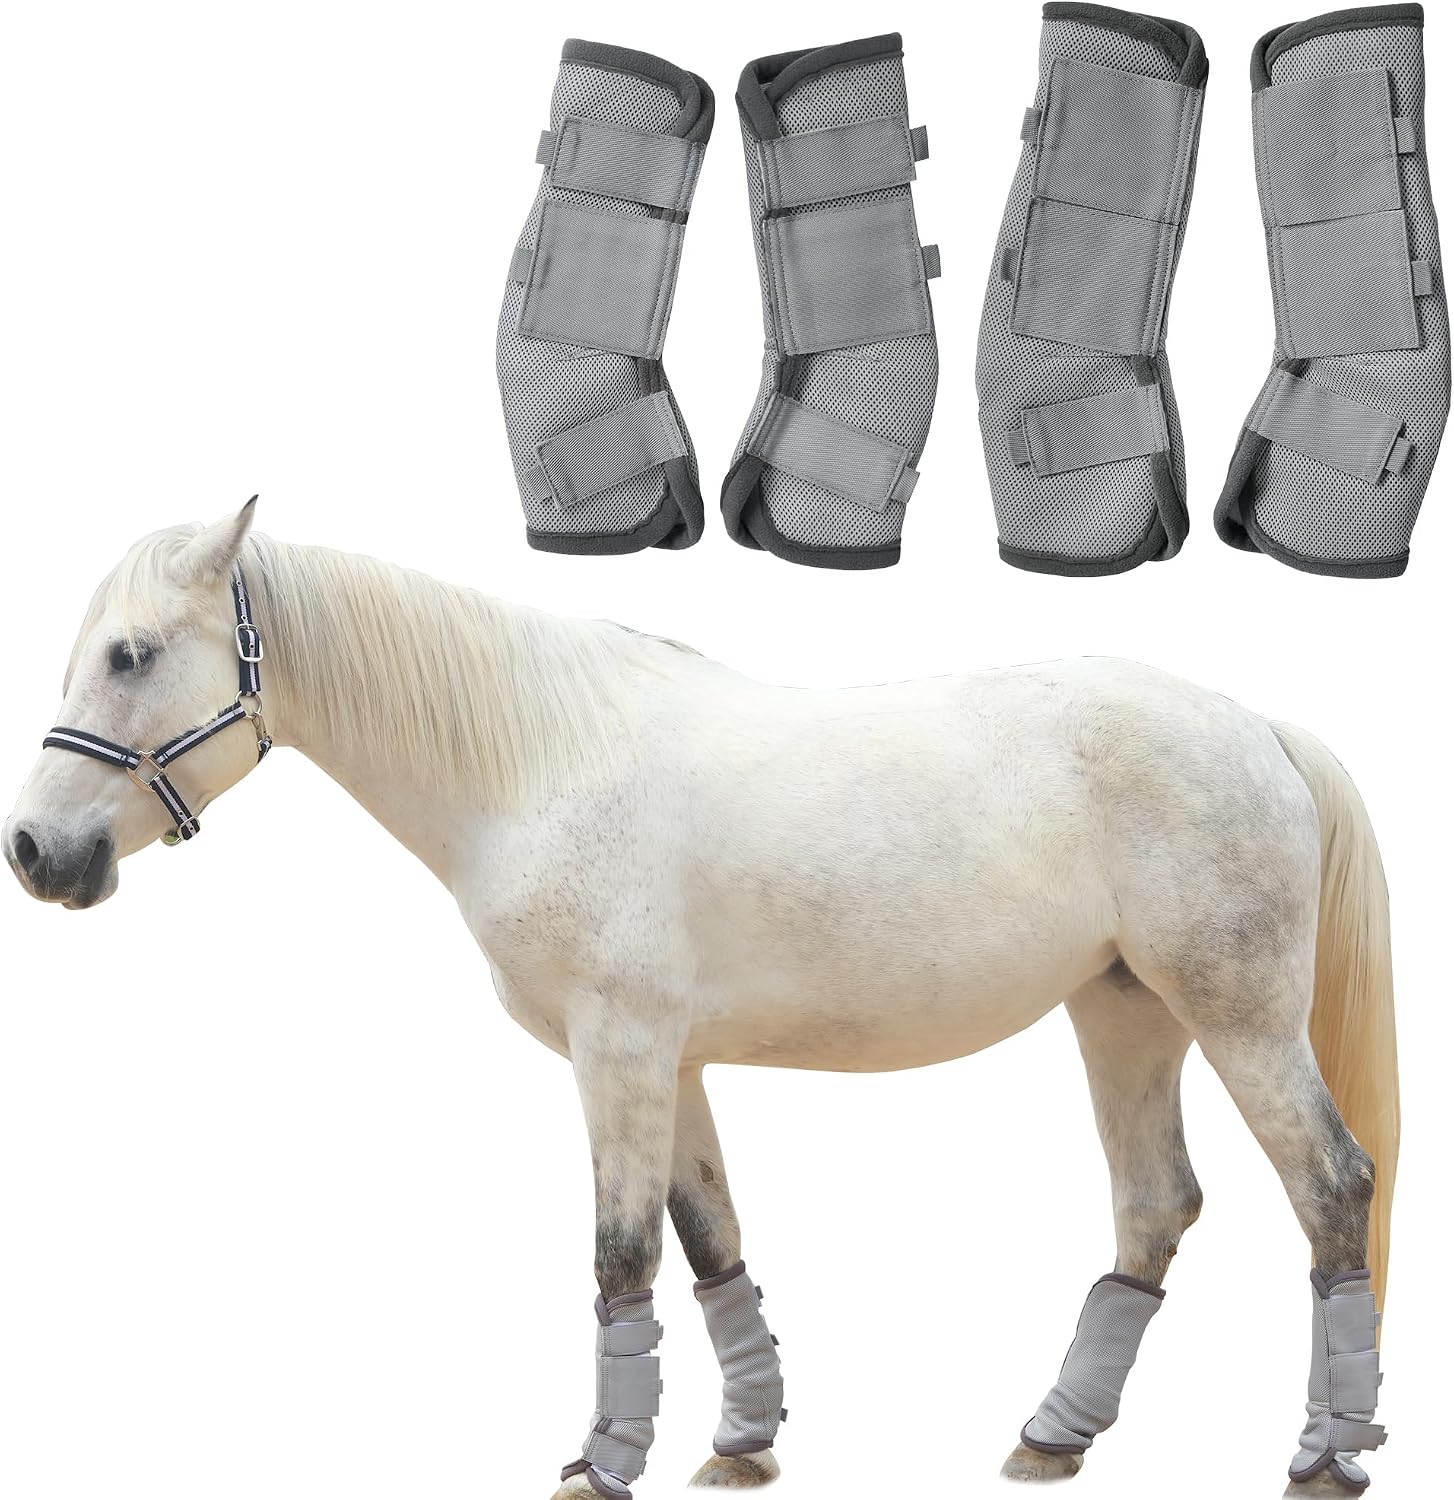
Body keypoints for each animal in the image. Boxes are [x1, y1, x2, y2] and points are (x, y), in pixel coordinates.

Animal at [5, 501, 1398, 1498]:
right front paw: (739, 1445)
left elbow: (620, 1254)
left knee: (1330, 1186)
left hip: (1235, 1017)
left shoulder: (616, 1051)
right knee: (1155, 1205)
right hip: (1122, 1014)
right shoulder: (670, 1065)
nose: (35, 852)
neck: (535, 763)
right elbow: (710, 1240)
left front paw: (599, 1467)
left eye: (131, 655)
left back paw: (1326, 1456)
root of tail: (1256, 727)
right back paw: (1052, 1436)